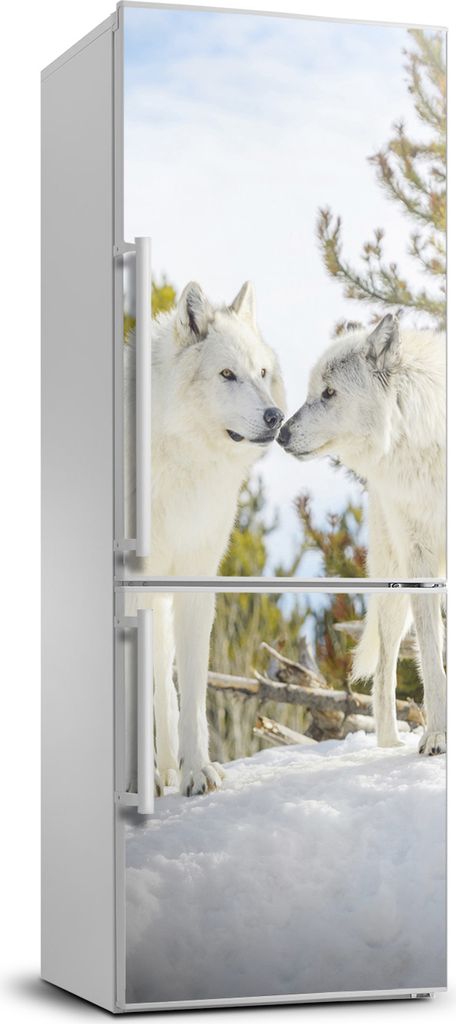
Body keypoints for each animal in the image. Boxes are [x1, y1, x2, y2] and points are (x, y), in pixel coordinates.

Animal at [125, 281, 285, 795]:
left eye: (261, 372)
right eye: (227, 374)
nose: (275, 416)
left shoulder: (196, 581)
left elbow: (193, 691)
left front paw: (198, 772)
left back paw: (166, 771)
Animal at [278, 313, 446, 756]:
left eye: (329, 392)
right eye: (313, 391)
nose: (281, 433)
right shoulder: (420, 559)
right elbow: (432, 660)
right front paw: (438, 736)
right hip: (393, 587)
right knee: (386, 670)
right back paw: (388, 746)